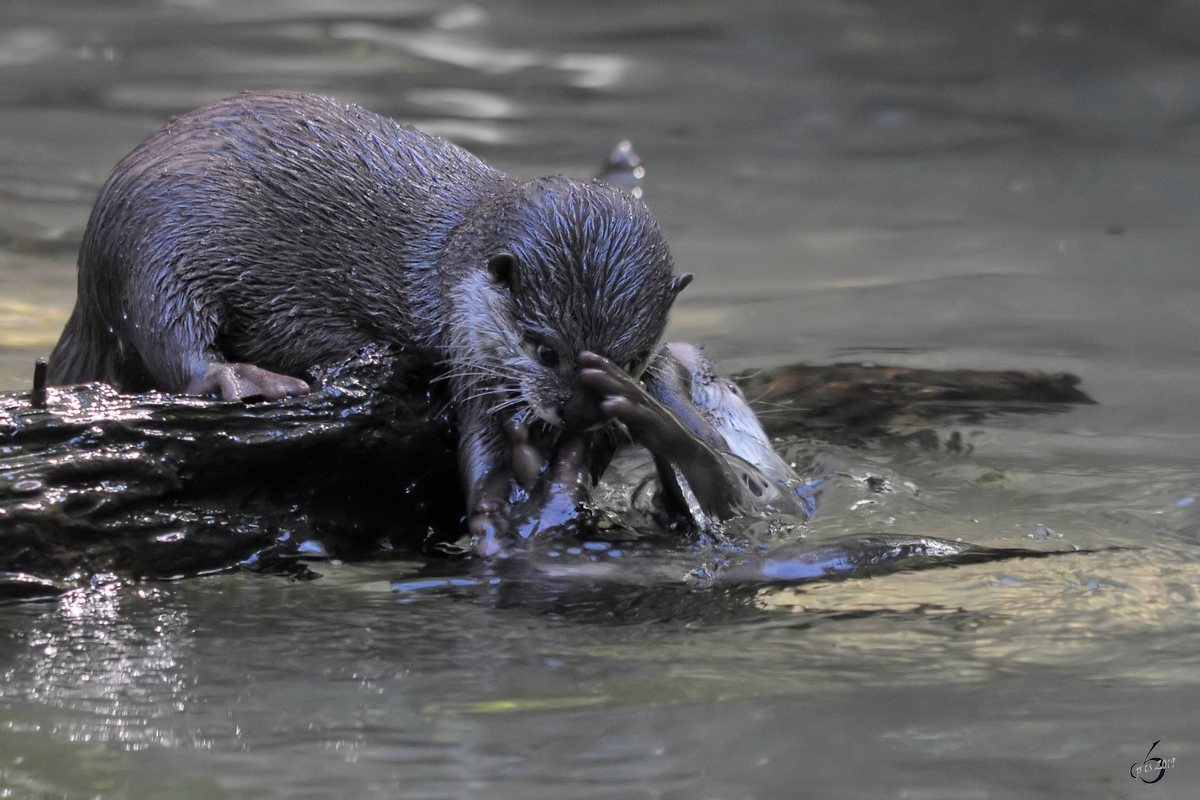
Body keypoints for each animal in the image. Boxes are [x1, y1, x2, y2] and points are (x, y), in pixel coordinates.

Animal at [51, 92, 691, 544]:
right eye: (544, 350)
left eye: (634, 359)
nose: (578, 412)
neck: (452, 262)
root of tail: (86, 281)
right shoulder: (468, 345)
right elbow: (479, 440)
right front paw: (496, 509)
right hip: (155, 254)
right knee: (171, 342)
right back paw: (247, 379)